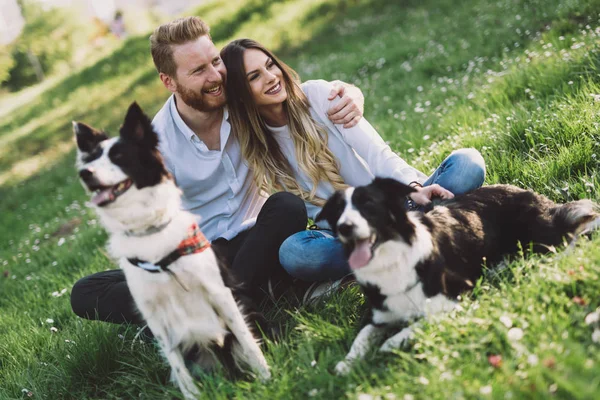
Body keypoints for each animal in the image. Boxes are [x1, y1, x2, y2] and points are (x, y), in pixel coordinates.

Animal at [71, 102, 270, 396]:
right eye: (92, 160)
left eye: (119, 156)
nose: (85, 174)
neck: (147, 228)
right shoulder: (155, 315)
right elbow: (179, 369)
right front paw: (193, 396)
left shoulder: (219, 292)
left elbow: (246, 339)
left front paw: (269, 378)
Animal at [316, 178, 596, 376]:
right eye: (338, 212)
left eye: (368, 204)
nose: (344, 227)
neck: (392, 258)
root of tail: (528, 192)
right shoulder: (377, 314)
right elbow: (361, 338)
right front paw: (347, 363)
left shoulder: (456, 299)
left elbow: (419, 323)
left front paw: (391, 343)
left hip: (536, 239)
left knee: (572, 231)